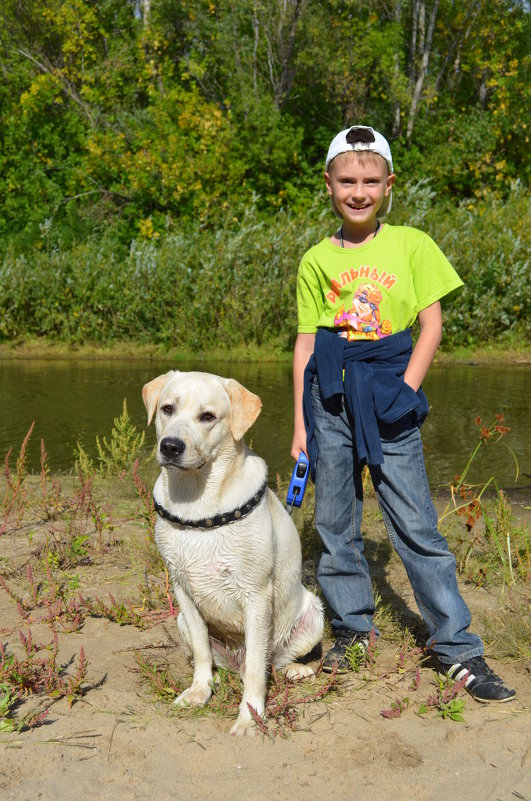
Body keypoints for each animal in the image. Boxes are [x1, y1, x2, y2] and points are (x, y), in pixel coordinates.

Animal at [142, 372, 324, 736]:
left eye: (208, 416)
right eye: (167, 408)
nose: (170, 446)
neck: (196, 501)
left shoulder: (256, 595)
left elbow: (256, 669)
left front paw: (250, 717)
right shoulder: (183, 590)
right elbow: (201, 652)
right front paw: (199, 691)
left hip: (314, 614)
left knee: (273, 662)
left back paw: (298, 671)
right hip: (182, 621)